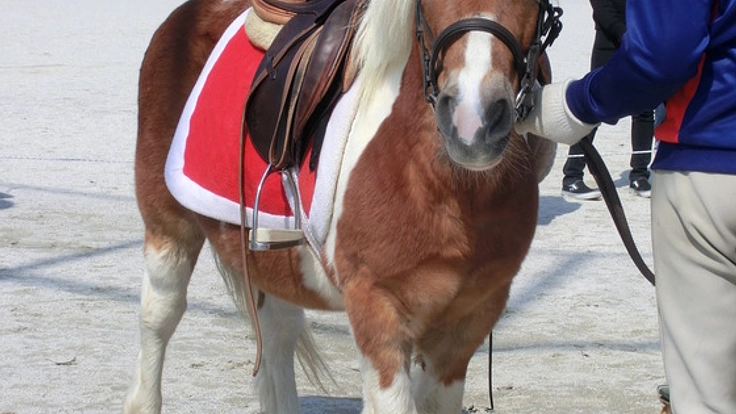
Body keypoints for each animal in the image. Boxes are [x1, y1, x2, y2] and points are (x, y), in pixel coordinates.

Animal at [124, 0, 559, 412]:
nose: (474, 121)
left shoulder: (469, 320)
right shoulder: (376, 308)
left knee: (277, 335)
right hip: (168, 228)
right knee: (159, 315)